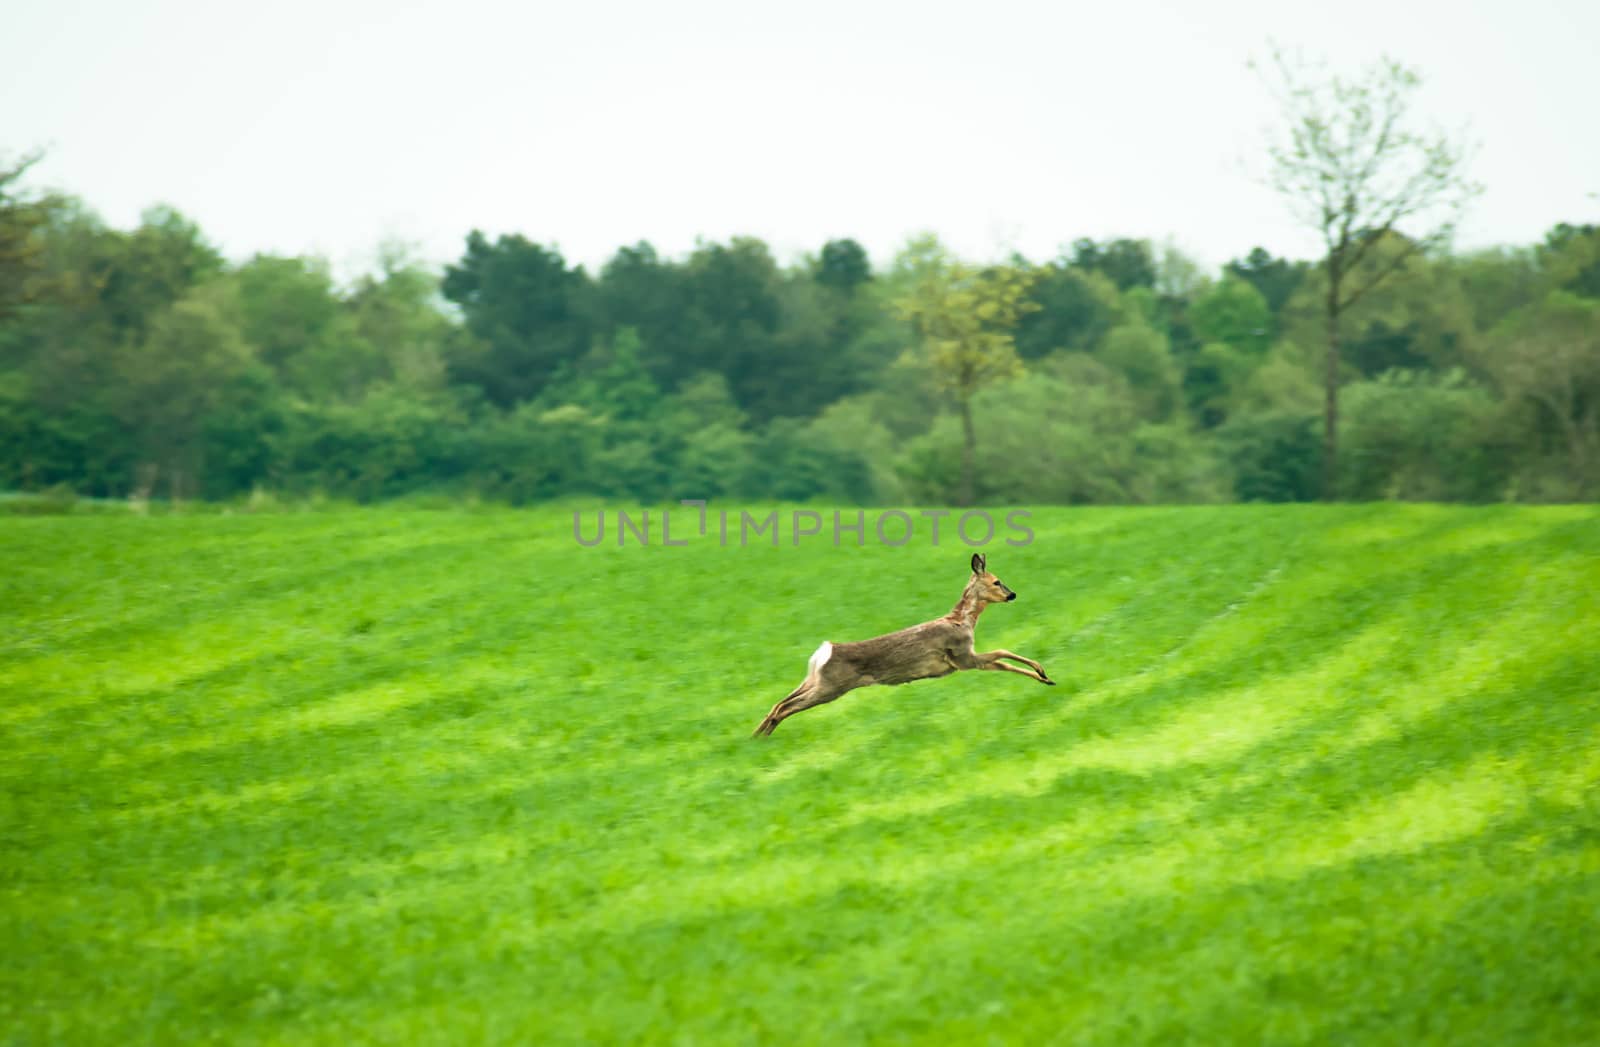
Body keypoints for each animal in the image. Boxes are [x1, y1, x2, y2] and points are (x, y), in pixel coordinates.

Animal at [752, 553, 1056, 742]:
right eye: (996, 581)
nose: (1012, 594)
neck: (963, 621)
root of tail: (824, 651)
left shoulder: (965, 661)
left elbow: (1002, 661)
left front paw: (1045, 678)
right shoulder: (962, 656)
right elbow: (1003, 653)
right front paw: (1043, 672)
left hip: (814, 680)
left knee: (779, 702)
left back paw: (755, 737)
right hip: (830, 686)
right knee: (786, 707)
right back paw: (761, 737)